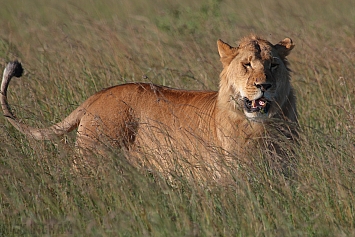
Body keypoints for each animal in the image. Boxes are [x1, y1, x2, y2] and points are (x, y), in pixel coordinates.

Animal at [0, 34, 298, 180]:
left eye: (273, 65)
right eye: (246, 64)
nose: (264, 85)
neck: (261, 128)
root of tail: (97, 95)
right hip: (90, 162)